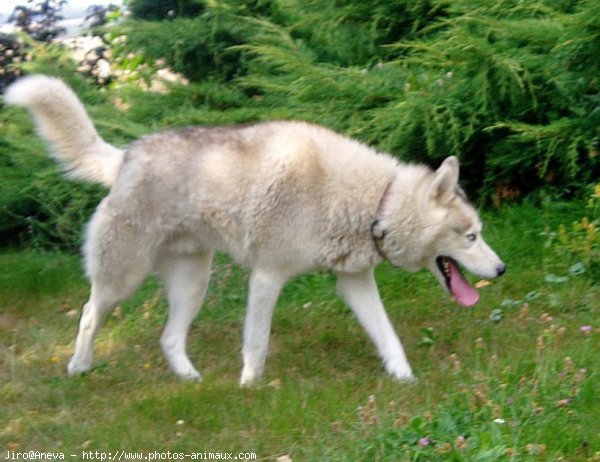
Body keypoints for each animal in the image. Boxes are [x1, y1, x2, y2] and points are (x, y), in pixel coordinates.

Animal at [5, 76, 506, 384]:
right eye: (470, 236)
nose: (502, 270)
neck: (375, 204)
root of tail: (126, 156)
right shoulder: (267, 278)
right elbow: (257, 344)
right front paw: (249, 388)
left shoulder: (355, 284)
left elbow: (389, 337)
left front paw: (406, 380)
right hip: (121, 281)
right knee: (90, 313)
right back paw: (79, 366)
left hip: (192, 284)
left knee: (168, 337)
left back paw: (190, 379)